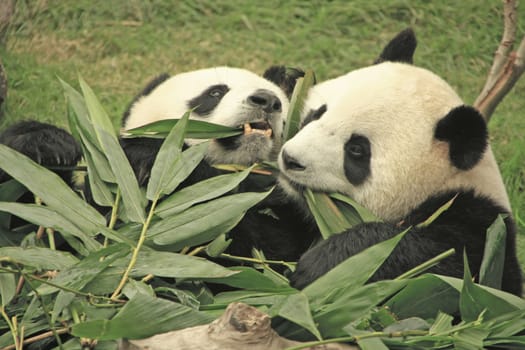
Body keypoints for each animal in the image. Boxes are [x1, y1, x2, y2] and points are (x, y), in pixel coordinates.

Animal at [276, 56, 520, 296]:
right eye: (318, 113)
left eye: (356, 149)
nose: (290, 158)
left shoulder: (482, 229)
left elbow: (438, 258)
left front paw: (323, 266)